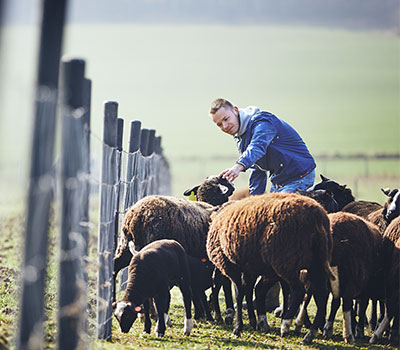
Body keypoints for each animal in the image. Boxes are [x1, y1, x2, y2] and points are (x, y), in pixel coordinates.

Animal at [205, 191, 332, 342]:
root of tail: (317, 218)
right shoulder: (249, 267)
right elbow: (248, 291)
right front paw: (253, 322)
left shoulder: (231, 265)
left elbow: (239, 293)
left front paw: (238, 328)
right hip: (317, 262)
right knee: (322, 293)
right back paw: (310, 333)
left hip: (285, 262)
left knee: (299, 290)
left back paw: (286, 325)